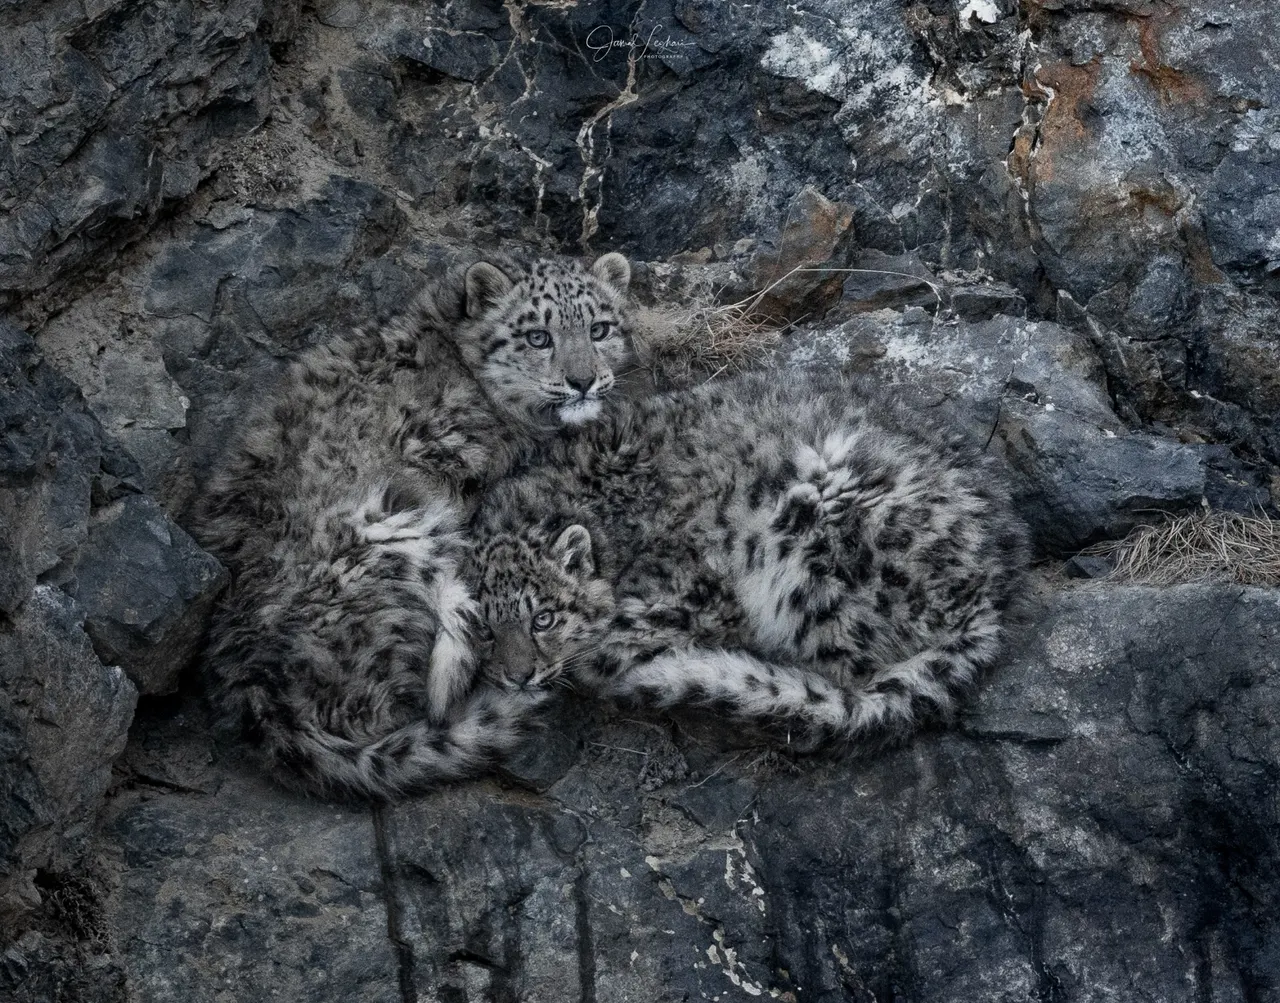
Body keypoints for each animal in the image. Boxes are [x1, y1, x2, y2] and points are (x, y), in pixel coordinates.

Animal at [470, 369, 1028, 753]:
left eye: (543, 618)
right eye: (482, 629)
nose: (517, 676)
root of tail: (990, 593)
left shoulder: (691, 597)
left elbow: (607, 646)